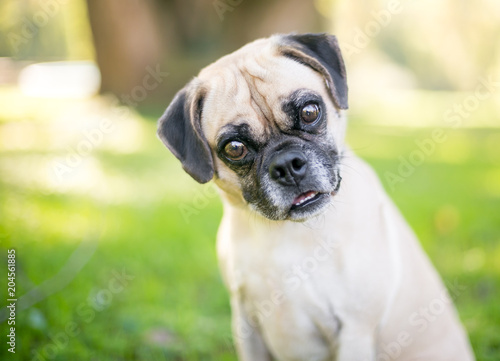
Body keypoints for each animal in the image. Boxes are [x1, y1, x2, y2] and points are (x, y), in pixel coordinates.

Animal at [155, 33, 472, 360]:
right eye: (235, 148)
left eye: (309, 112)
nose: (287, 164)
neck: (289, 234)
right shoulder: (247, 326)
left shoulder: (355, 332)